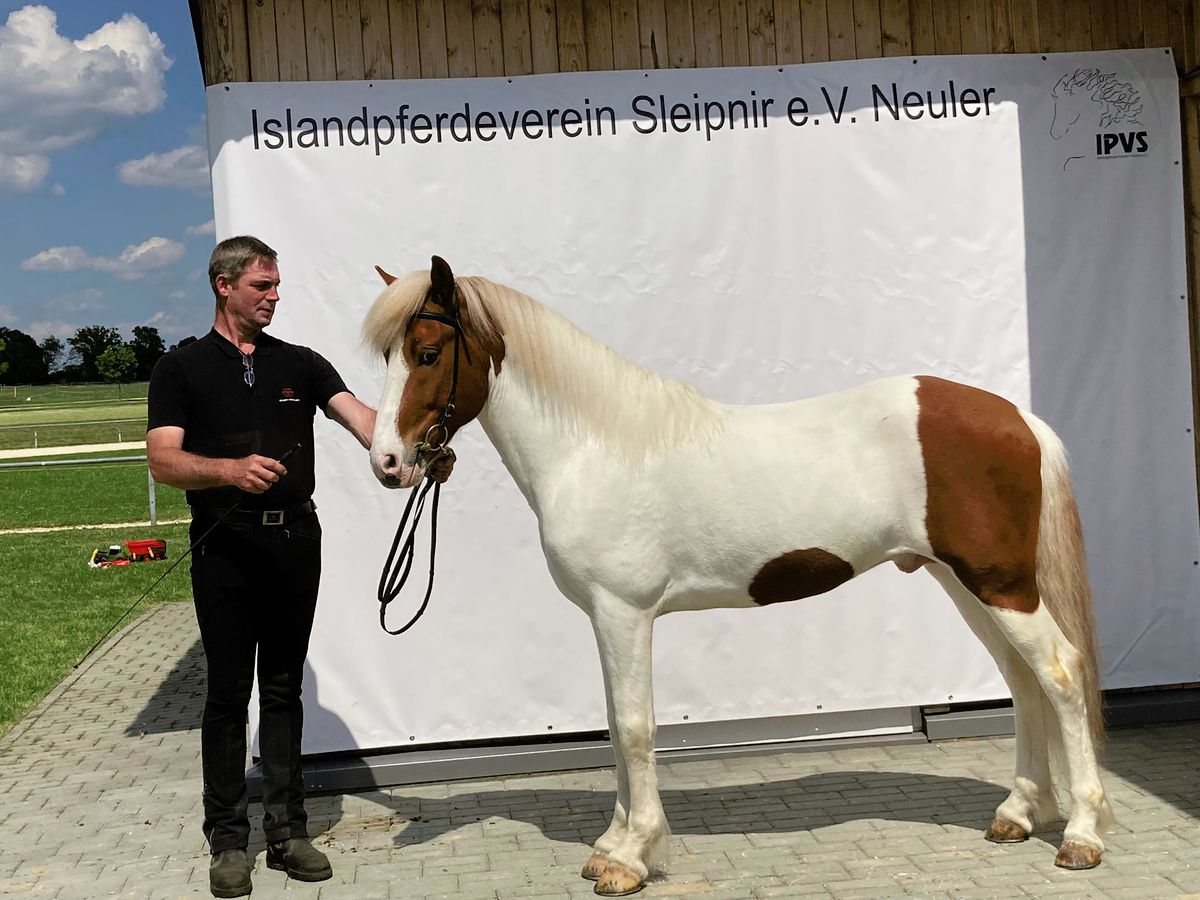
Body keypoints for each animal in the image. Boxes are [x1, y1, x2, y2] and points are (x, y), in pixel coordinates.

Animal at [363, 257, 1113, 896]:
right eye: (388, 356)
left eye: (427, 353)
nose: (388, 462)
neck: (595, 447)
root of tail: (1018, 417)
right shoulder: (605, 619)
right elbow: (612, 727)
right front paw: (609, 846)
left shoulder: (625, 612)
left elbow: (634, 728)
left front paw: (631, 857)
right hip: (965, 582)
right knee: (1023, 682)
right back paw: (1017, 815)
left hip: (999, 584)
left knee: (1060, 674)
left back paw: (1080, 836)